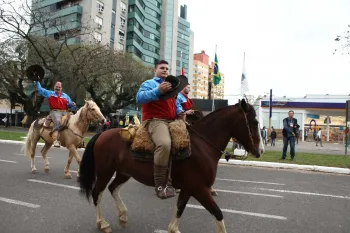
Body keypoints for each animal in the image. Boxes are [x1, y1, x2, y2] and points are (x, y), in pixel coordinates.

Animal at [77, 99, 262, 233]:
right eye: (254, 122)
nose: (260, 150)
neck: (202, 145)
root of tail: (102, 134)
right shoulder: (200, 189)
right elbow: (217, 213)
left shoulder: (189, 188)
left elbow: (180, 207)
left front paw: (173, 228)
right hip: (105, 172)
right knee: (97, 193)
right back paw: (103, 223)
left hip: (124, 173)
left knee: (113, 188)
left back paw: (122, 216)